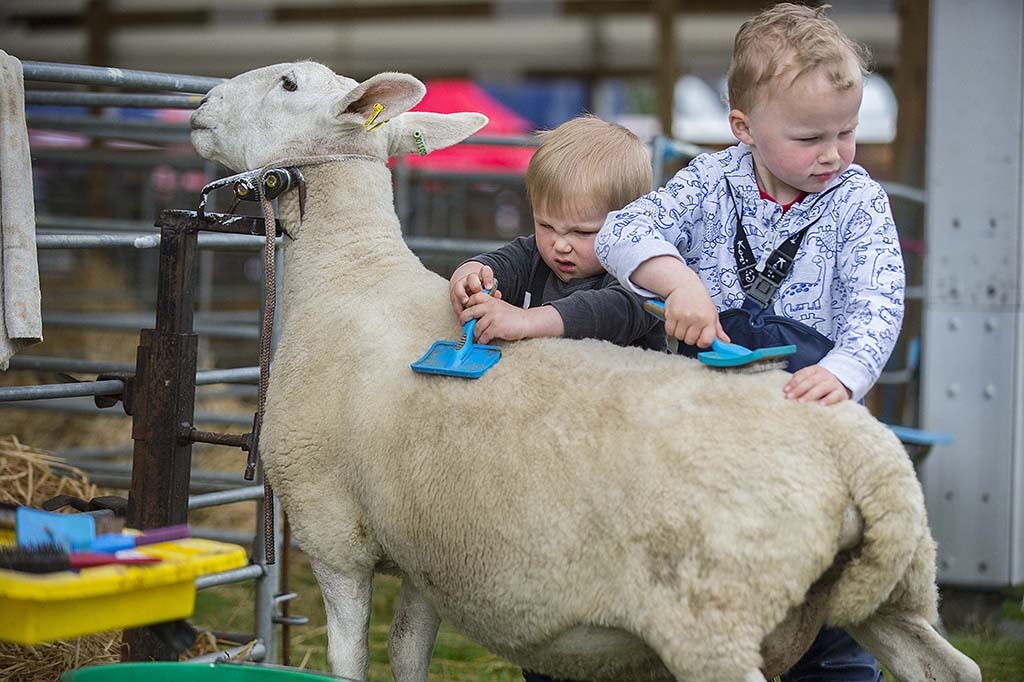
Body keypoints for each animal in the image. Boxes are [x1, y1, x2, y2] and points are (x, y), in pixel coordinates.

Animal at [192, 59, 983, 679]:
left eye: (288, 83)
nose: (199, 107)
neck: (347, 276)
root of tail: (862, 456)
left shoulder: (333, 533)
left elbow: (350, 659)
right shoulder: (424, 554)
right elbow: (408, 653)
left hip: (714, 619)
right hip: (892, 590)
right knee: (949, 665)